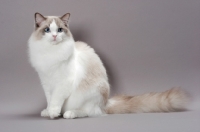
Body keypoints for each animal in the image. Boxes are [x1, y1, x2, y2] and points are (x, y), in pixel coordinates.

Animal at [27, 12, 189, 119]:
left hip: (90, 94)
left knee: (88, 112)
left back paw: (69, 113)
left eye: (60, 30)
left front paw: (53, 113)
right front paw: (48, 112)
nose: (54, 36)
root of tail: (105, 104)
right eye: (47, 30)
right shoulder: (46, 82)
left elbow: (56, 100)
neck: (51, 53)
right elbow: (50, 100)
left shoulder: (63, 83)